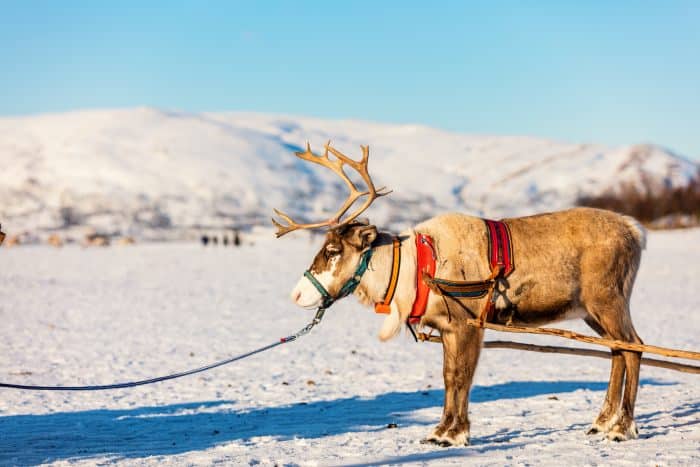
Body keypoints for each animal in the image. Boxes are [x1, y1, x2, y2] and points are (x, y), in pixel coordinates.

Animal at [274, 142, 646, 445]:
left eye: (333, 250)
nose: (296, 295)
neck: (414, 267)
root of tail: (636, 230)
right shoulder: (446, 328)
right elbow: (448, 376)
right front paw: (441, 430)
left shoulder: (467, 325)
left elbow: (461, 376)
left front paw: (454, 434)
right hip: (590, 312)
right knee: (617, 350)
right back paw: (601, 421)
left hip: (608, 301)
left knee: (634, 347)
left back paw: (622, 427)